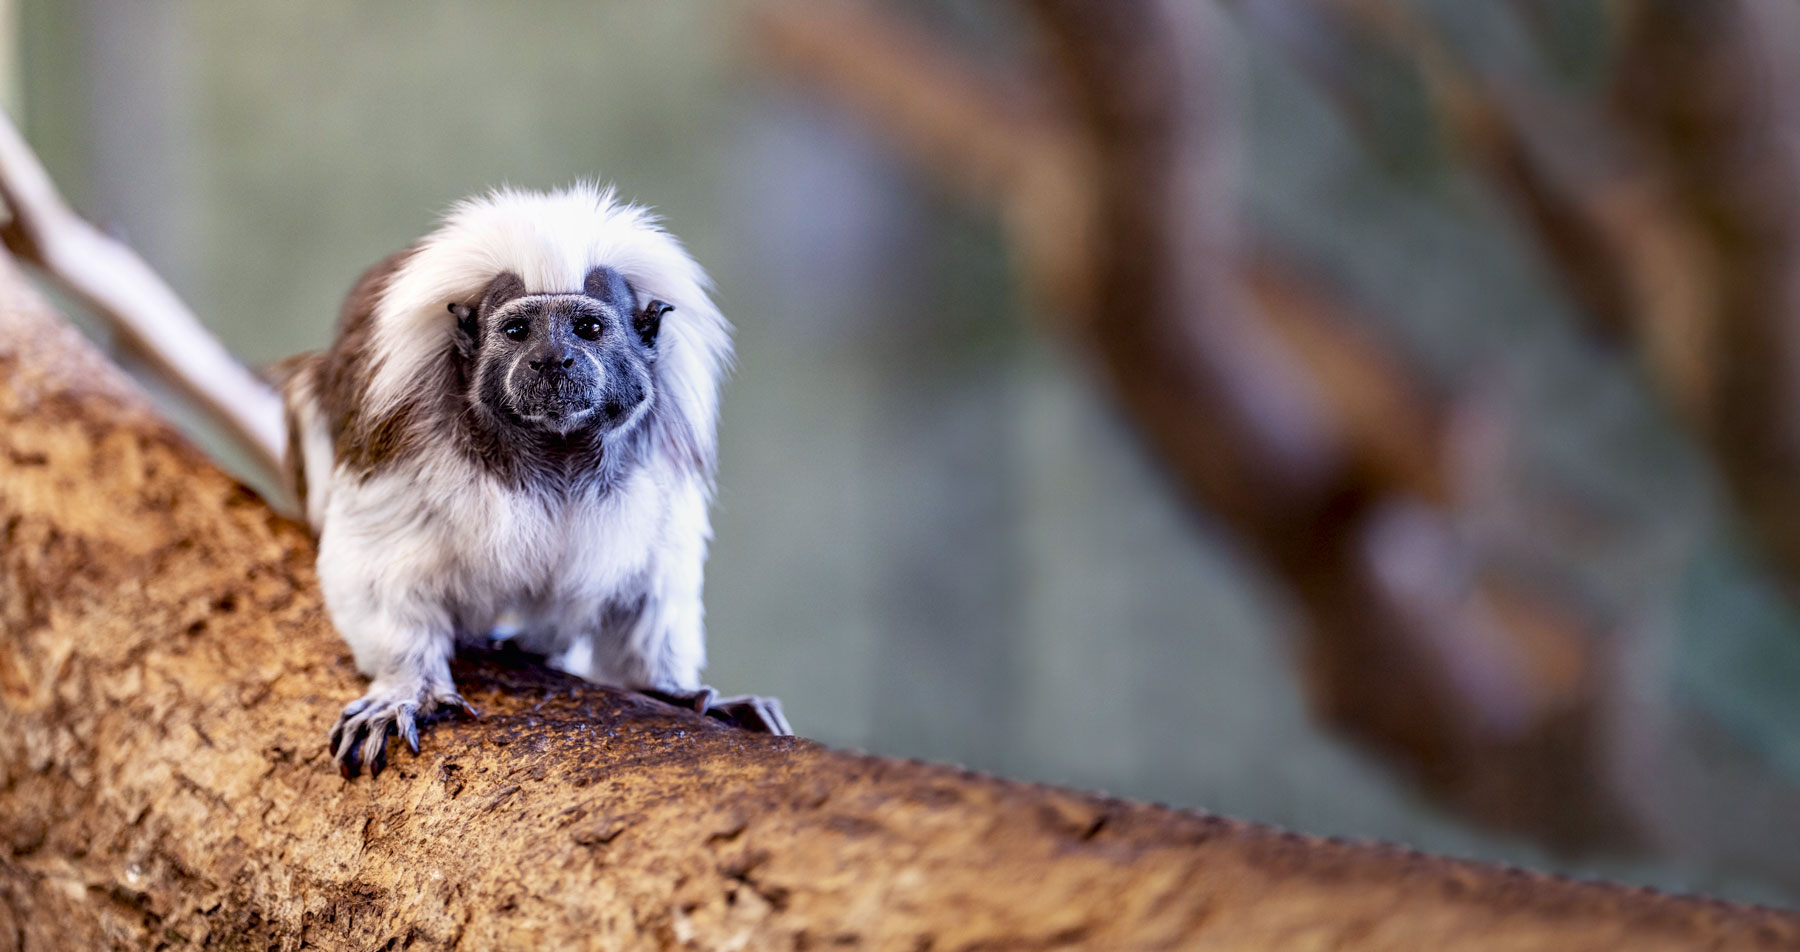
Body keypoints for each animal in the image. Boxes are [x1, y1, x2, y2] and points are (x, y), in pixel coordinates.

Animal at [273, 181, 788, 777]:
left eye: (588, 328)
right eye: (518, 331)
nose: (552, 359)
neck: (554, 450)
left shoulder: (660, 455)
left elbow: (651, 580)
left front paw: (666, 687)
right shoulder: (397, 436)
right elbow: (377, 567)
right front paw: (406, 686)